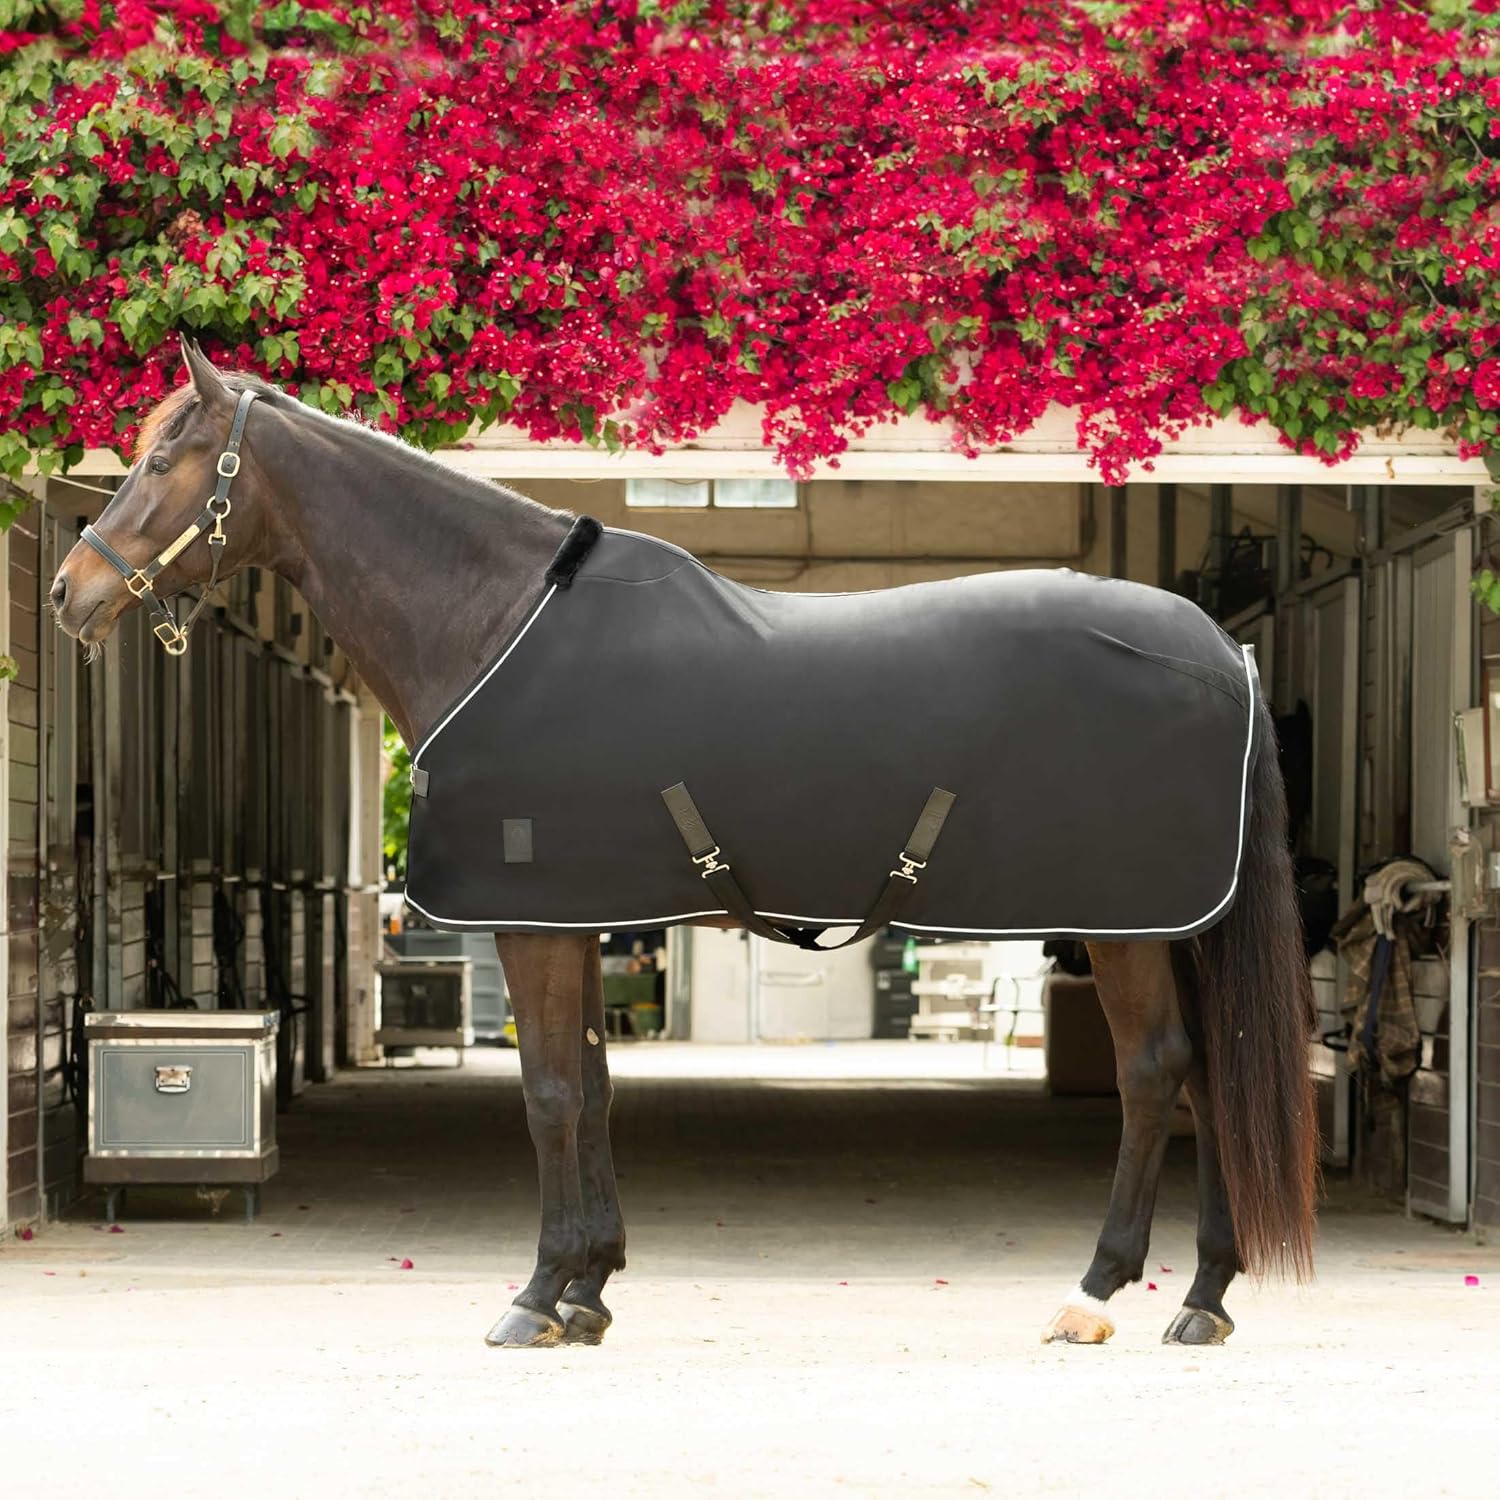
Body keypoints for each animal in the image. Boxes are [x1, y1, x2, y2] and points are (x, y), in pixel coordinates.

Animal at [49, 339, 1318, 1348]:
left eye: (162, 461)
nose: (67, 592)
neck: (493, 624)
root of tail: (1228, 653)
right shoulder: (573, 919)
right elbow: (597, 1088)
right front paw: (591, 1290)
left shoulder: (530, 923)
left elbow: (552, 1094)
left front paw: (537, 1296)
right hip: (1172, 925)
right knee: (1209, 1075)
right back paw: (1201, 1296)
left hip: (1128, 925)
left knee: (1157, 1074)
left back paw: (1098, 1293)